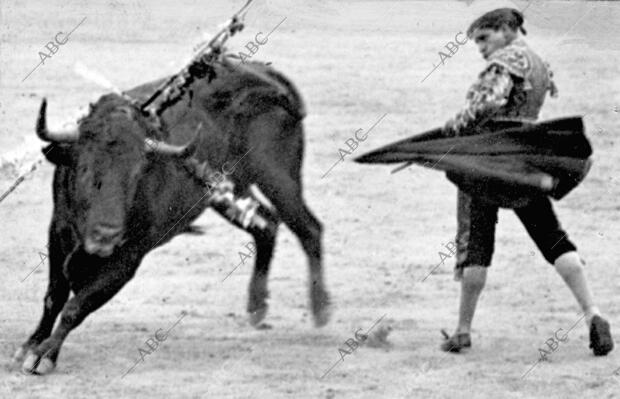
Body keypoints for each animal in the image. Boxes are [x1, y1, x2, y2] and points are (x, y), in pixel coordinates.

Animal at [13, 58, 330, 376]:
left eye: (137, 173)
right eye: (83, 169)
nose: (106, 235)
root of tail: (269, 76)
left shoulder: (128, 259)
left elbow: (76, 306)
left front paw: (44, 355)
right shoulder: (57, 232)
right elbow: (54, 296)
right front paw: (30, 346)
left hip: (278, 179)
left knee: (309, 229)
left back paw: (320, 309)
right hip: (229, 190)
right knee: (267, 225)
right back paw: (257, 307)